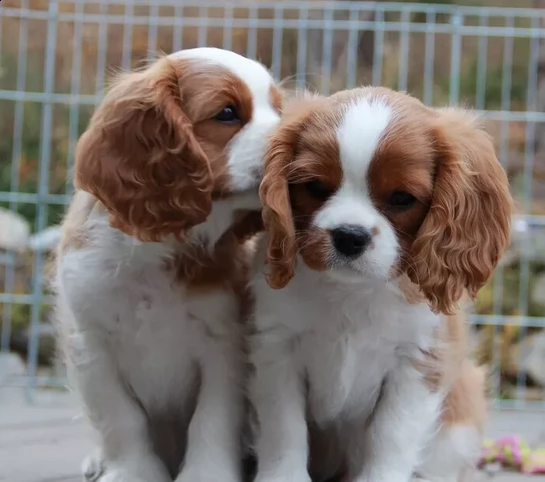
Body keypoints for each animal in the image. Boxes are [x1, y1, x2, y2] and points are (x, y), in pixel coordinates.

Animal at [54, 48, 280, 482]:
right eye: (228, 113)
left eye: (280, 110)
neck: (158, 249)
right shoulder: (92, 341)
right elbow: (121, 418)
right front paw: (133, 472)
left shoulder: (223, 344)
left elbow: (211, 419)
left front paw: (206, 474)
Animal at [249, 88, 512, 482]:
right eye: (315, 187)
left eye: (402, 198)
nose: (349, 235)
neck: (352, 291)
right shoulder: (276, 348)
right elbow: (285, 428)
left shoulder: (417, 362)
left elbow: (391, 436)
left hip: (462, 412)